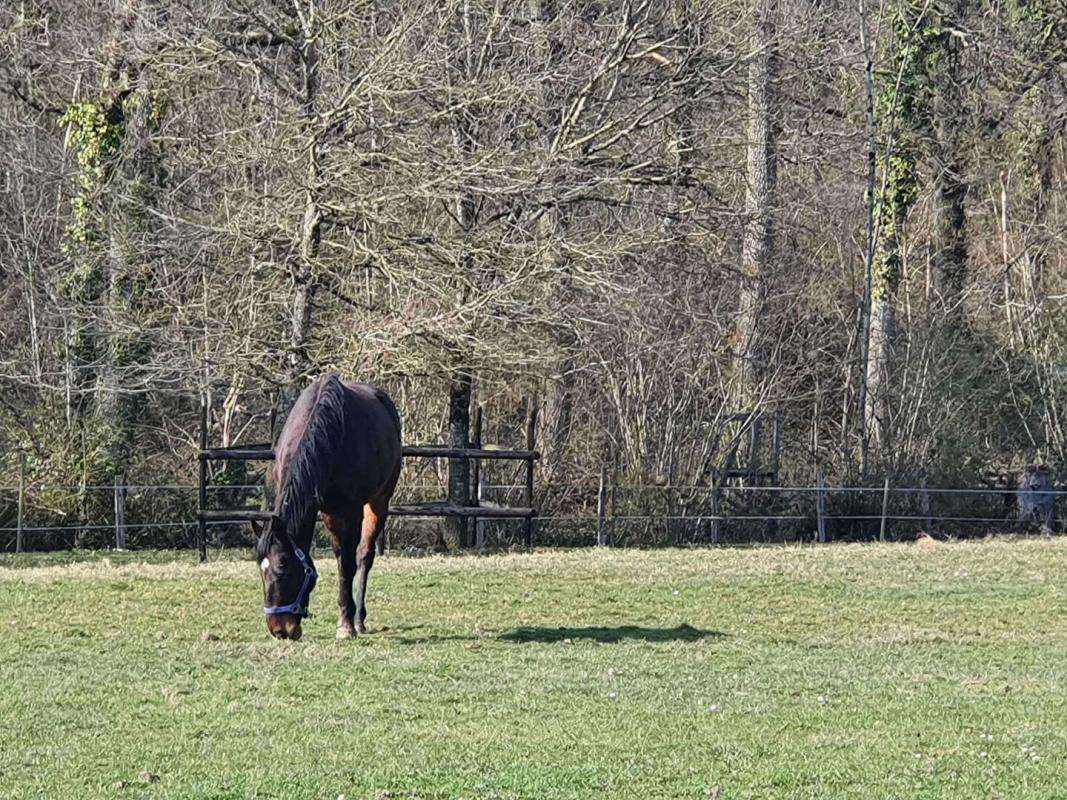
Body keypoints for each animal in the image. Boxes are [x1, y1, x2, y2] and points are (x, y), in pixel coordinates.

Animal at [251, 373, 401, 644]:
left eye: (283, 567)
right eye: (260, 570)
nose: (279, 630)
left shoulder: (349, 511)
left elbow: (347, 564)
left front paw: (346, 626)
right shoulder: (325, 510)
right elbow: (339, 556)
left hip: (379, 501)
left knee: (365, 555)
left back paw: (359, 619)